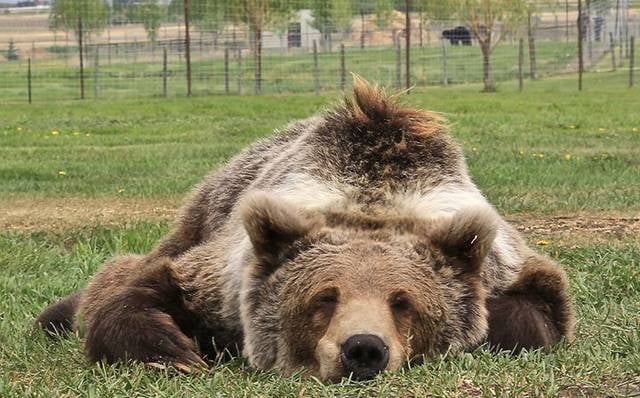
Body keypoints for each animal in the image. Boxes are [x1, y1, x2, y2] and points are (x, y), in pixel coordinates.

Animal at [37, 78, 572, 382]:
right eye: (325, 297)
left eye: (403, 302)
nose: (363, 348)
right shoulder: (223, 281)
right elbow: (143, 290)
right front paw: (175, 350)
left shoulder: (500, 260)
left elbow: (535, 305)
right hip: (203, 209)